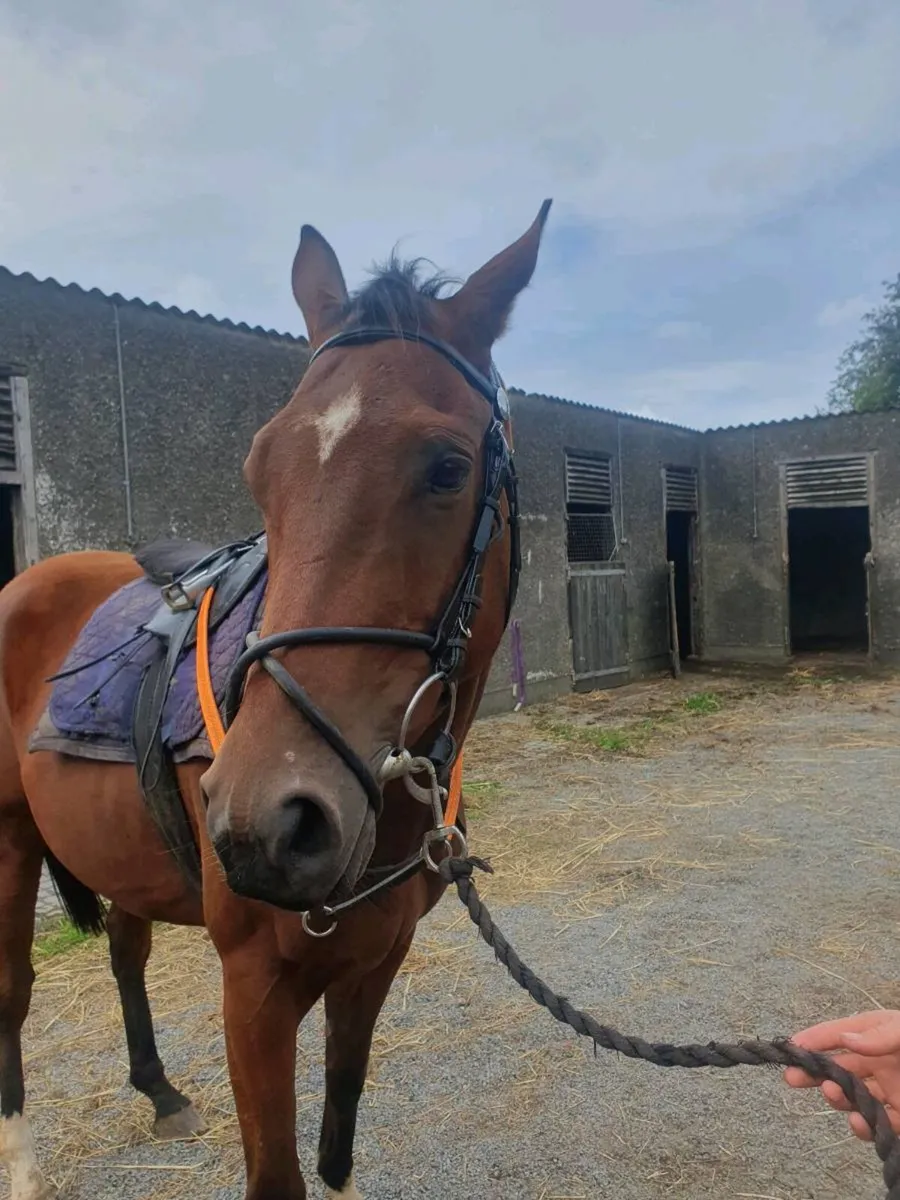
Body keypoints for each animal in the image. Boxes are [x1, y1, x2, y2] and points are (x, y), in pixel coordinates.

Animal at [0, 199, 552, 1200]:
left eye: (449, 468)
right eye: (261, 469)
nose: (266, 823)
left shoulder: (373, 965)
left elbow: (340, 1127)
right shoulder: (253, 992)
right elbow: (279, 1174)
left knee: (126, 952)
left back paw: (160, 1091)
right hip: (10, 841)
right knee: (12, 989)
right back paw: (21, 1158)